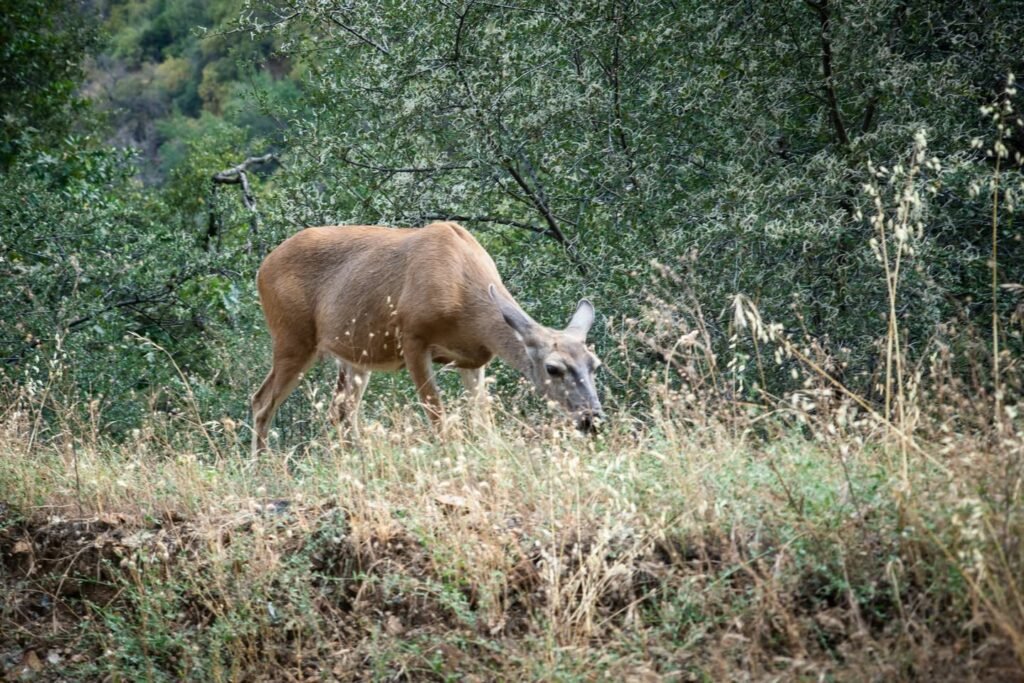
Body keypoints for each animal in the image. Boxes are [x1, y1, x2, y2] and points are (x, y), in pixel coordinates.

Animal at [250, 221, 603, 453]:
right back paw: (266, 467)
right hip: (291, 337)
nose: (592, 418)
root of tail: (262, 267)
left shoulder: (473, 359)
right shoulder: (412, 337)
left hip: (354, 355)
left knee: (340, 411)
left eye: (594, 364)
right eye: (553, 368)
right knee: (261, 401)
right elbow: (437, 414)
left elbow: (483, 420)